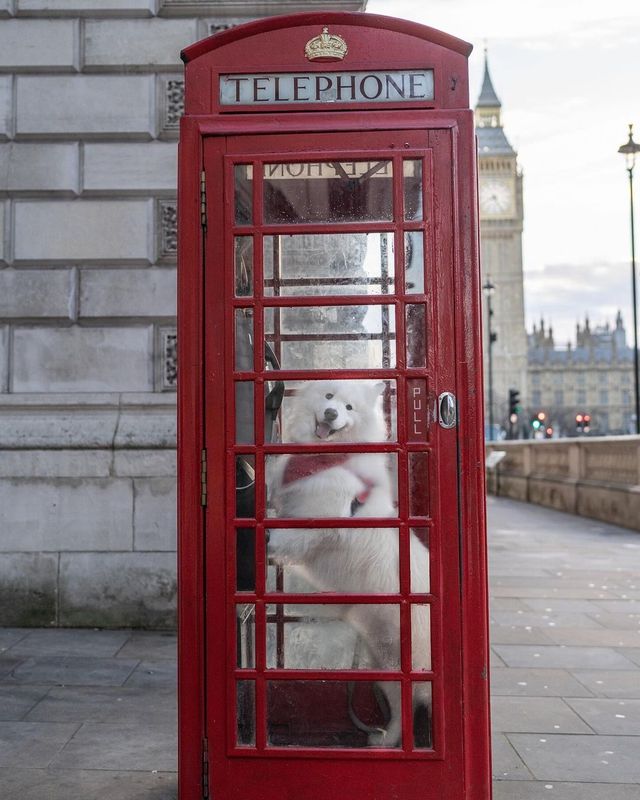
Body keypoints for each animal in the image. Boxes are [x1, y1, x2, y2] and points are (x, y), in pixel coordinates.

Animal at [268, 378, 432, 748]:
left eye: (349, 408)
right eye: (329, 397)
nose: (331, 413)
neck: (326, 458)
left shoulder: (319, 523)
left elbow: (285, 537)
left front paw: (265, 546)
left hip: (402, 657)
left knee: (409, 701)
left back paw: (388, 742)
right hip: (381, 657)